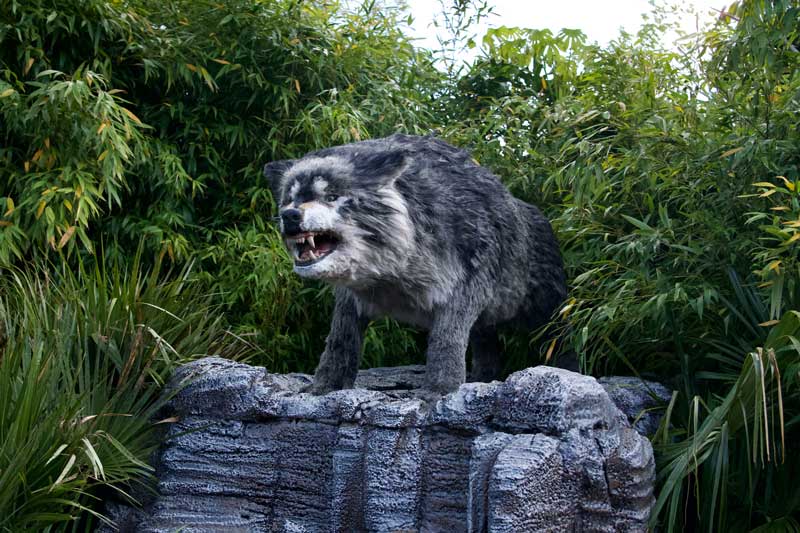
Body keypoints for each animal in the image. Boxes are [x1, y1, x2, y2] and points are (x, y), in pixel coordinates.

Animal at [264, 134, 566, 394]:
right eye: (290, 199)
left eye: (331, 196)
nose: (290, 215)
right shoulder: (350, 301)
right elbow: (339, 343)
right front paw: (321, 389)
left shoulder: (465, 289)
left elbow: (446, 341)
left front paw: (438, 392)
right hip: (486, 325)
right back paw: (479, 381)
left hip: (548, 313)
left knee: (562, 342)